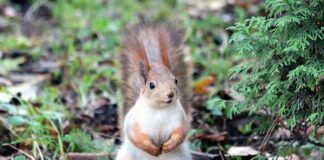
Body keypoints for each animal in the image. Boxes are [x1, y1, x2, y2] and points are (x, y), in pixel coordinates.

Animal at [116, 21, 191, 160]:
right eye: (151, 85)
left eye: (175, 80)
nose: (170, 94)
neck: (159, 109)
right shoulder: (134, 122)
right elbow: (135, 136)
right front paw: (152, 149)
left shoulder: (180, 119)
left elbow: (181, 133)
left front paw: (169, 145)